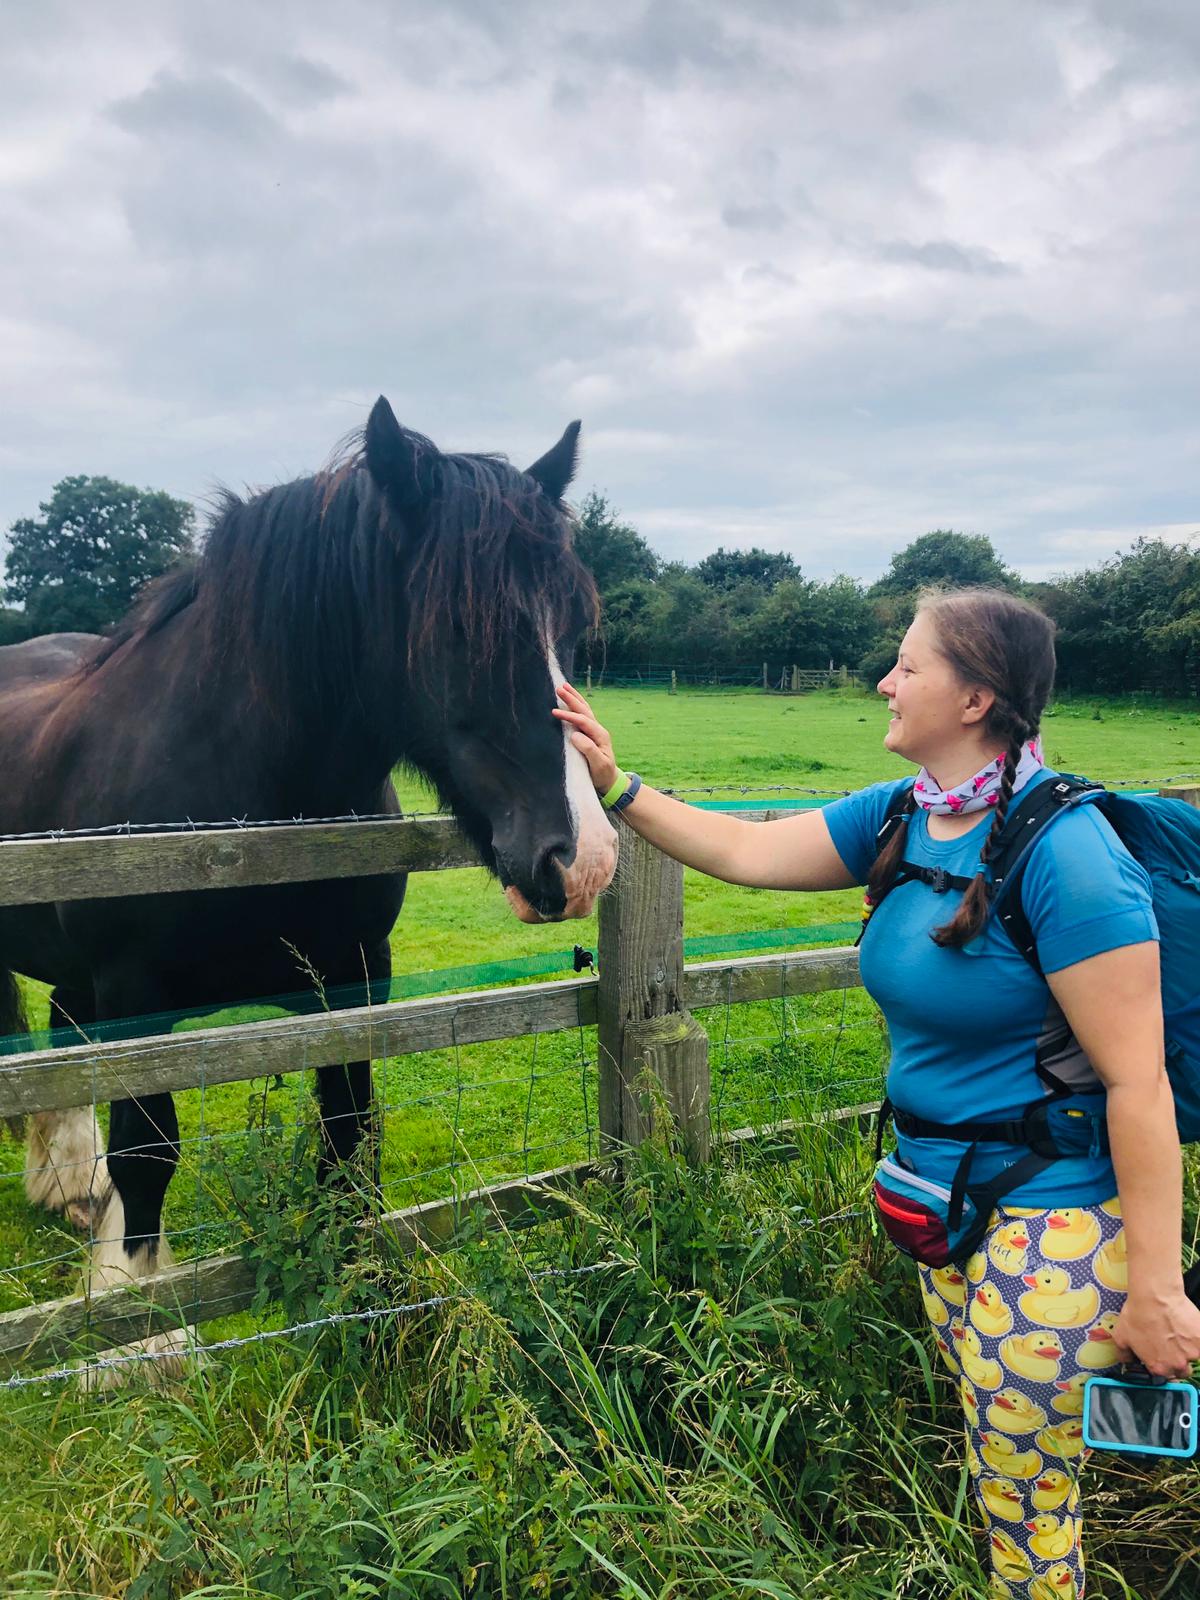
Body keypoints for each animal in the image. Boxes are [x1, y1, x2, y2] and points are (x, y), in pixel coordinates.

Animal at [0, 396, 618, 1368]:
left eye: (565, 622)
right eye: (456, 626)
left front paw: (362, 1292)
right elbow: (150, 1148)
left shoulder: (354, 979)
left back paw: (68, 1185)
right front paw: (135, 1327)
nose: (580, 856)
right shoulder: (137, 994)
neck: (252, 814)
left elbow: (347, 1135)